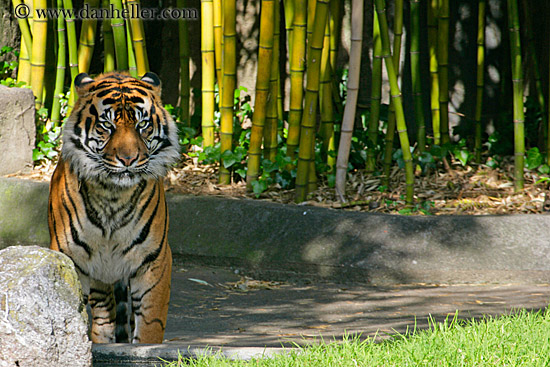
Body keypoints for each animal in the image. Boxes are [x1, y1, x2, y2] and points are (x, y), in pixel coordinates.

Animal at [47, 72, 180, 344]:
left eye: (142, 125)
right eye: (107, 126)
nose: (128, 159)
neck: (113, 196)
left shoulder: (154, 259)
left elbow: (150, 326)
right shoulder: (69, 257)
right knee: (102, 319)